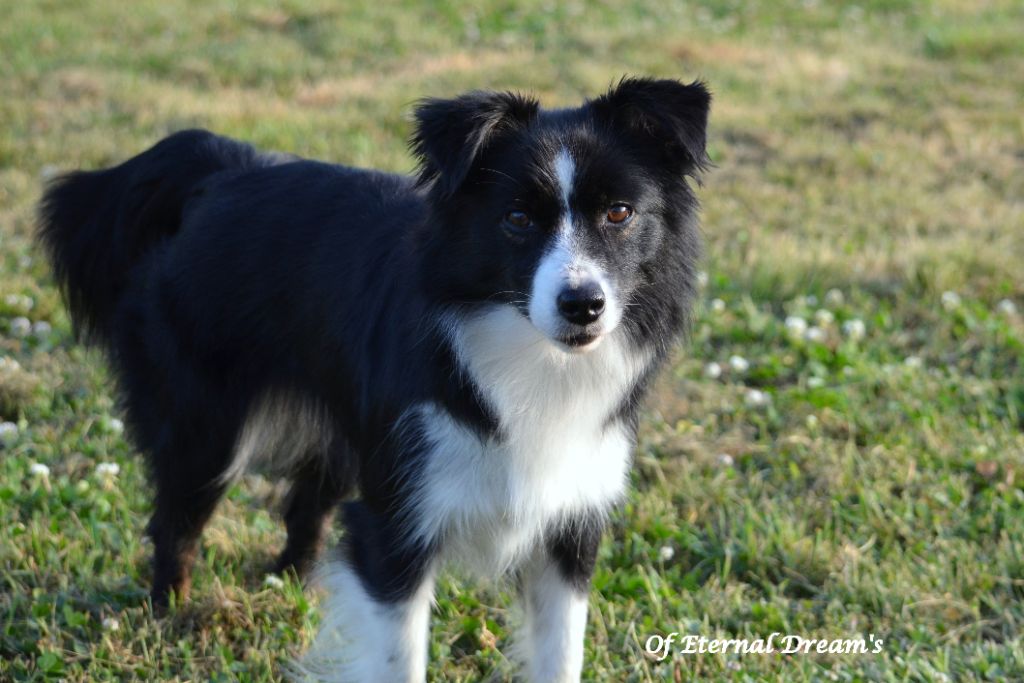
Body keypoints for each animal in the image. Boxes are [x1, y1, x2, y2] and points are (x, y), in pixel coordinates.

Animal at [38, 77, 710, 682]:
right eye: (518, 218)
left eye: (619, 213)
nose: (583, 305)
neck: (530, 360)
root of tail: (218, 167)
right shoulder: (399, 519)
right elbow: (398, 654)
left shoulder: (570, 523)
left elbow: (560, 655)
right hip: (204, 420)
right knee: (177, 519)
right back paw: (168, 613)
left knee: (306, 505)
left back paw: (300, 583)